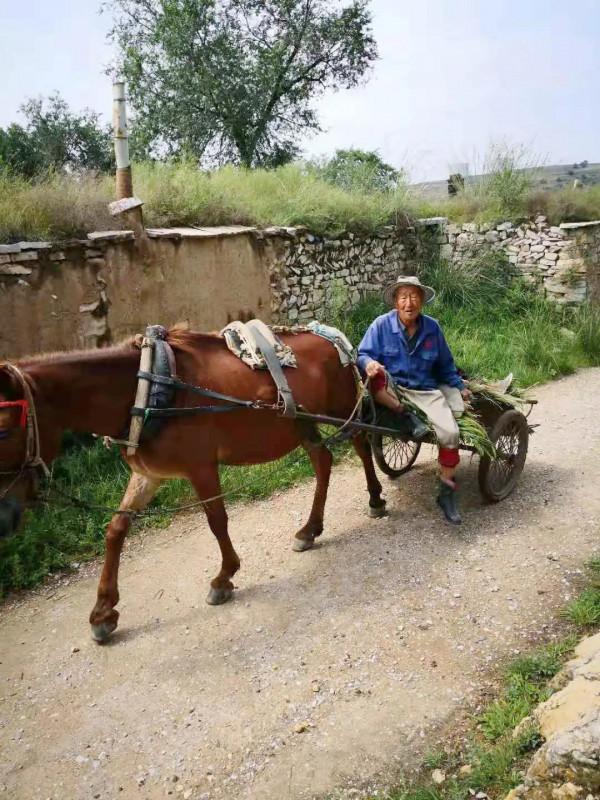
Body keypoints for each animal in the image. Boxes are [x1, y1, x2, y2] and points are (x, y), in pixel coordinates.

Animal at [0, 327, 386, 641]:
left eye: (4, 428)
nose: (4, 517)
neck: (146, 390)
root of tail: (330, 338)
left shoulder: (201, 467)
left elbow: (217, 521)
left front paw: (224, 577)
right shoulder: (149, 474)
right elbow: (116, 530)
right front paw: (103, 610)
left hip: (340, 409)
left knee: (362, 442)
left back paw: (375, 499)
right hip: (301, 422)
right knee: (323, 462)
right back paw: (310, 529)